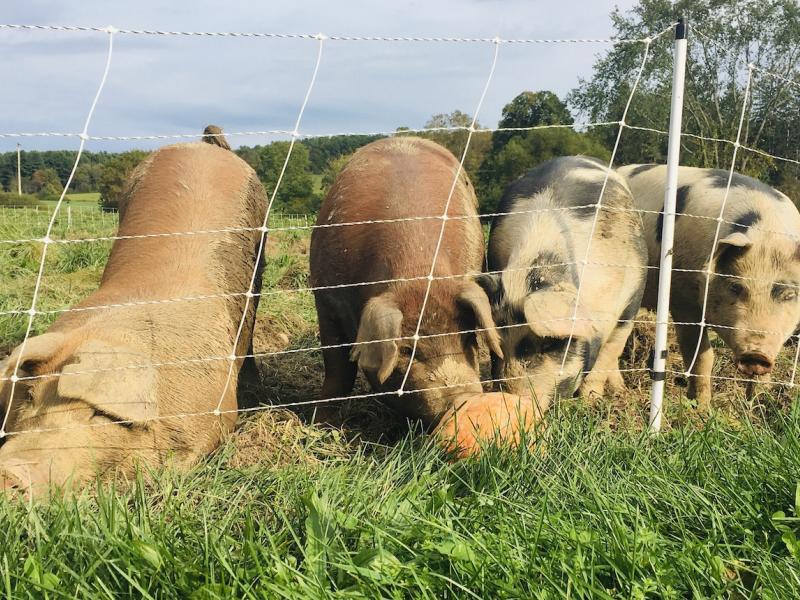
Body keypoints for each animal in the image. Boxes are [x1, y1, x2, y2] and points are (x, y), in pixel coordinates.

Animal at [310, 137, 504, 426]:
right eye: (406, 349)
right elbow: (337, 370)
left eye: (468, 337)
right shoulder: (325, 299)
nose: (462, 398)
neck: (418, 273)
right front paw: (319, 422)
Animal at [477, 156, 647, 410]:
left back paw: (618, 389)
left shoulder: (629, 302)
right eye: (497, 348)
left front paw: (591, 402)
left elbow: (608, 355)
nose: (516, 400)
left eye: (548, 345)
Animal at [618, 164, 800, 406]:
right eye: (735, 287)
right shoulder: (682, 297)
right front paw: (702, 407)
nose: (756, 356)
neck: (767, 233)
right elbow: (702, 354)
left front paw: (758, 403)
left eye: (789, 294)